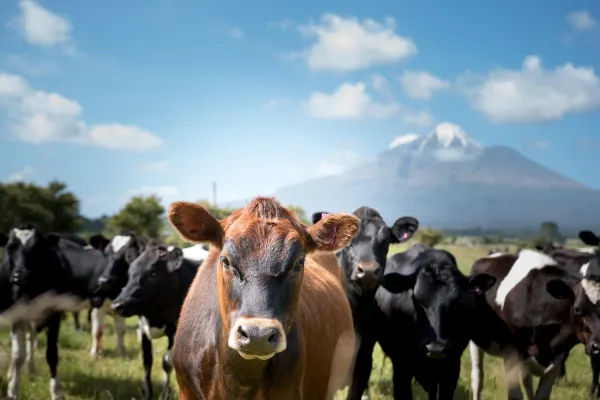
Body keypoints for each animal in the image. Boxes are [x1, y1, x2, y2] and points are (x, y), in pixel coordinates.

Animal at [109, 241, 199, 400]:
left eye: (153, 273)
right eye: (130, 272)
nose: (117, 305)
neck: (155, 317)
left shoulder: (175, 332)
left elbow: (167, 362)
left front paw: (165, 394)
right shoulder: (142, 330)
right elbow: (146, 361)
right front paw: (147, 394)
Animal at [468, 248, 596, 398]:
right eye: (577, 309)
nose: (597, 345)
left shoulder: (558, 357)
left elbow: (541, 394)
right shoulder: (511, 350)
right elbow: (515, 395)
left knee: (527, 380)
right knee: (477, 378)